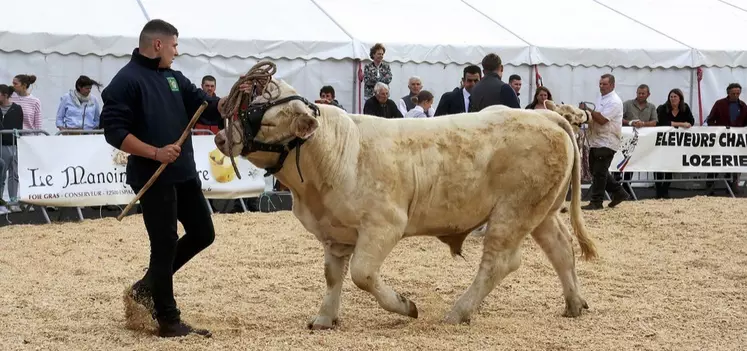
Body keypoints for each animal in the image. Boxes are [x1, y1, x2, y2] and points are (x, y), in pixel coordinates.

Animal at [213, 80, 600, 330]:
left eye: (265, 118)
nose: (219, 137)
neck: (335, 153)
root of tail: (545, 116)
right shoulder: (334, 232)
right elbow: (333, 276)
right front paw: (324, 318)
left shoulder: (384, 225)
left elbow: (362, 274)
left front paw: (405, 306)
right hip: (541, 212)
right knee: (561, 248)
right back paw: (574, 304)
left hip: (513, 212)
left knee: (500, 262)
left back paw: (458, 312)